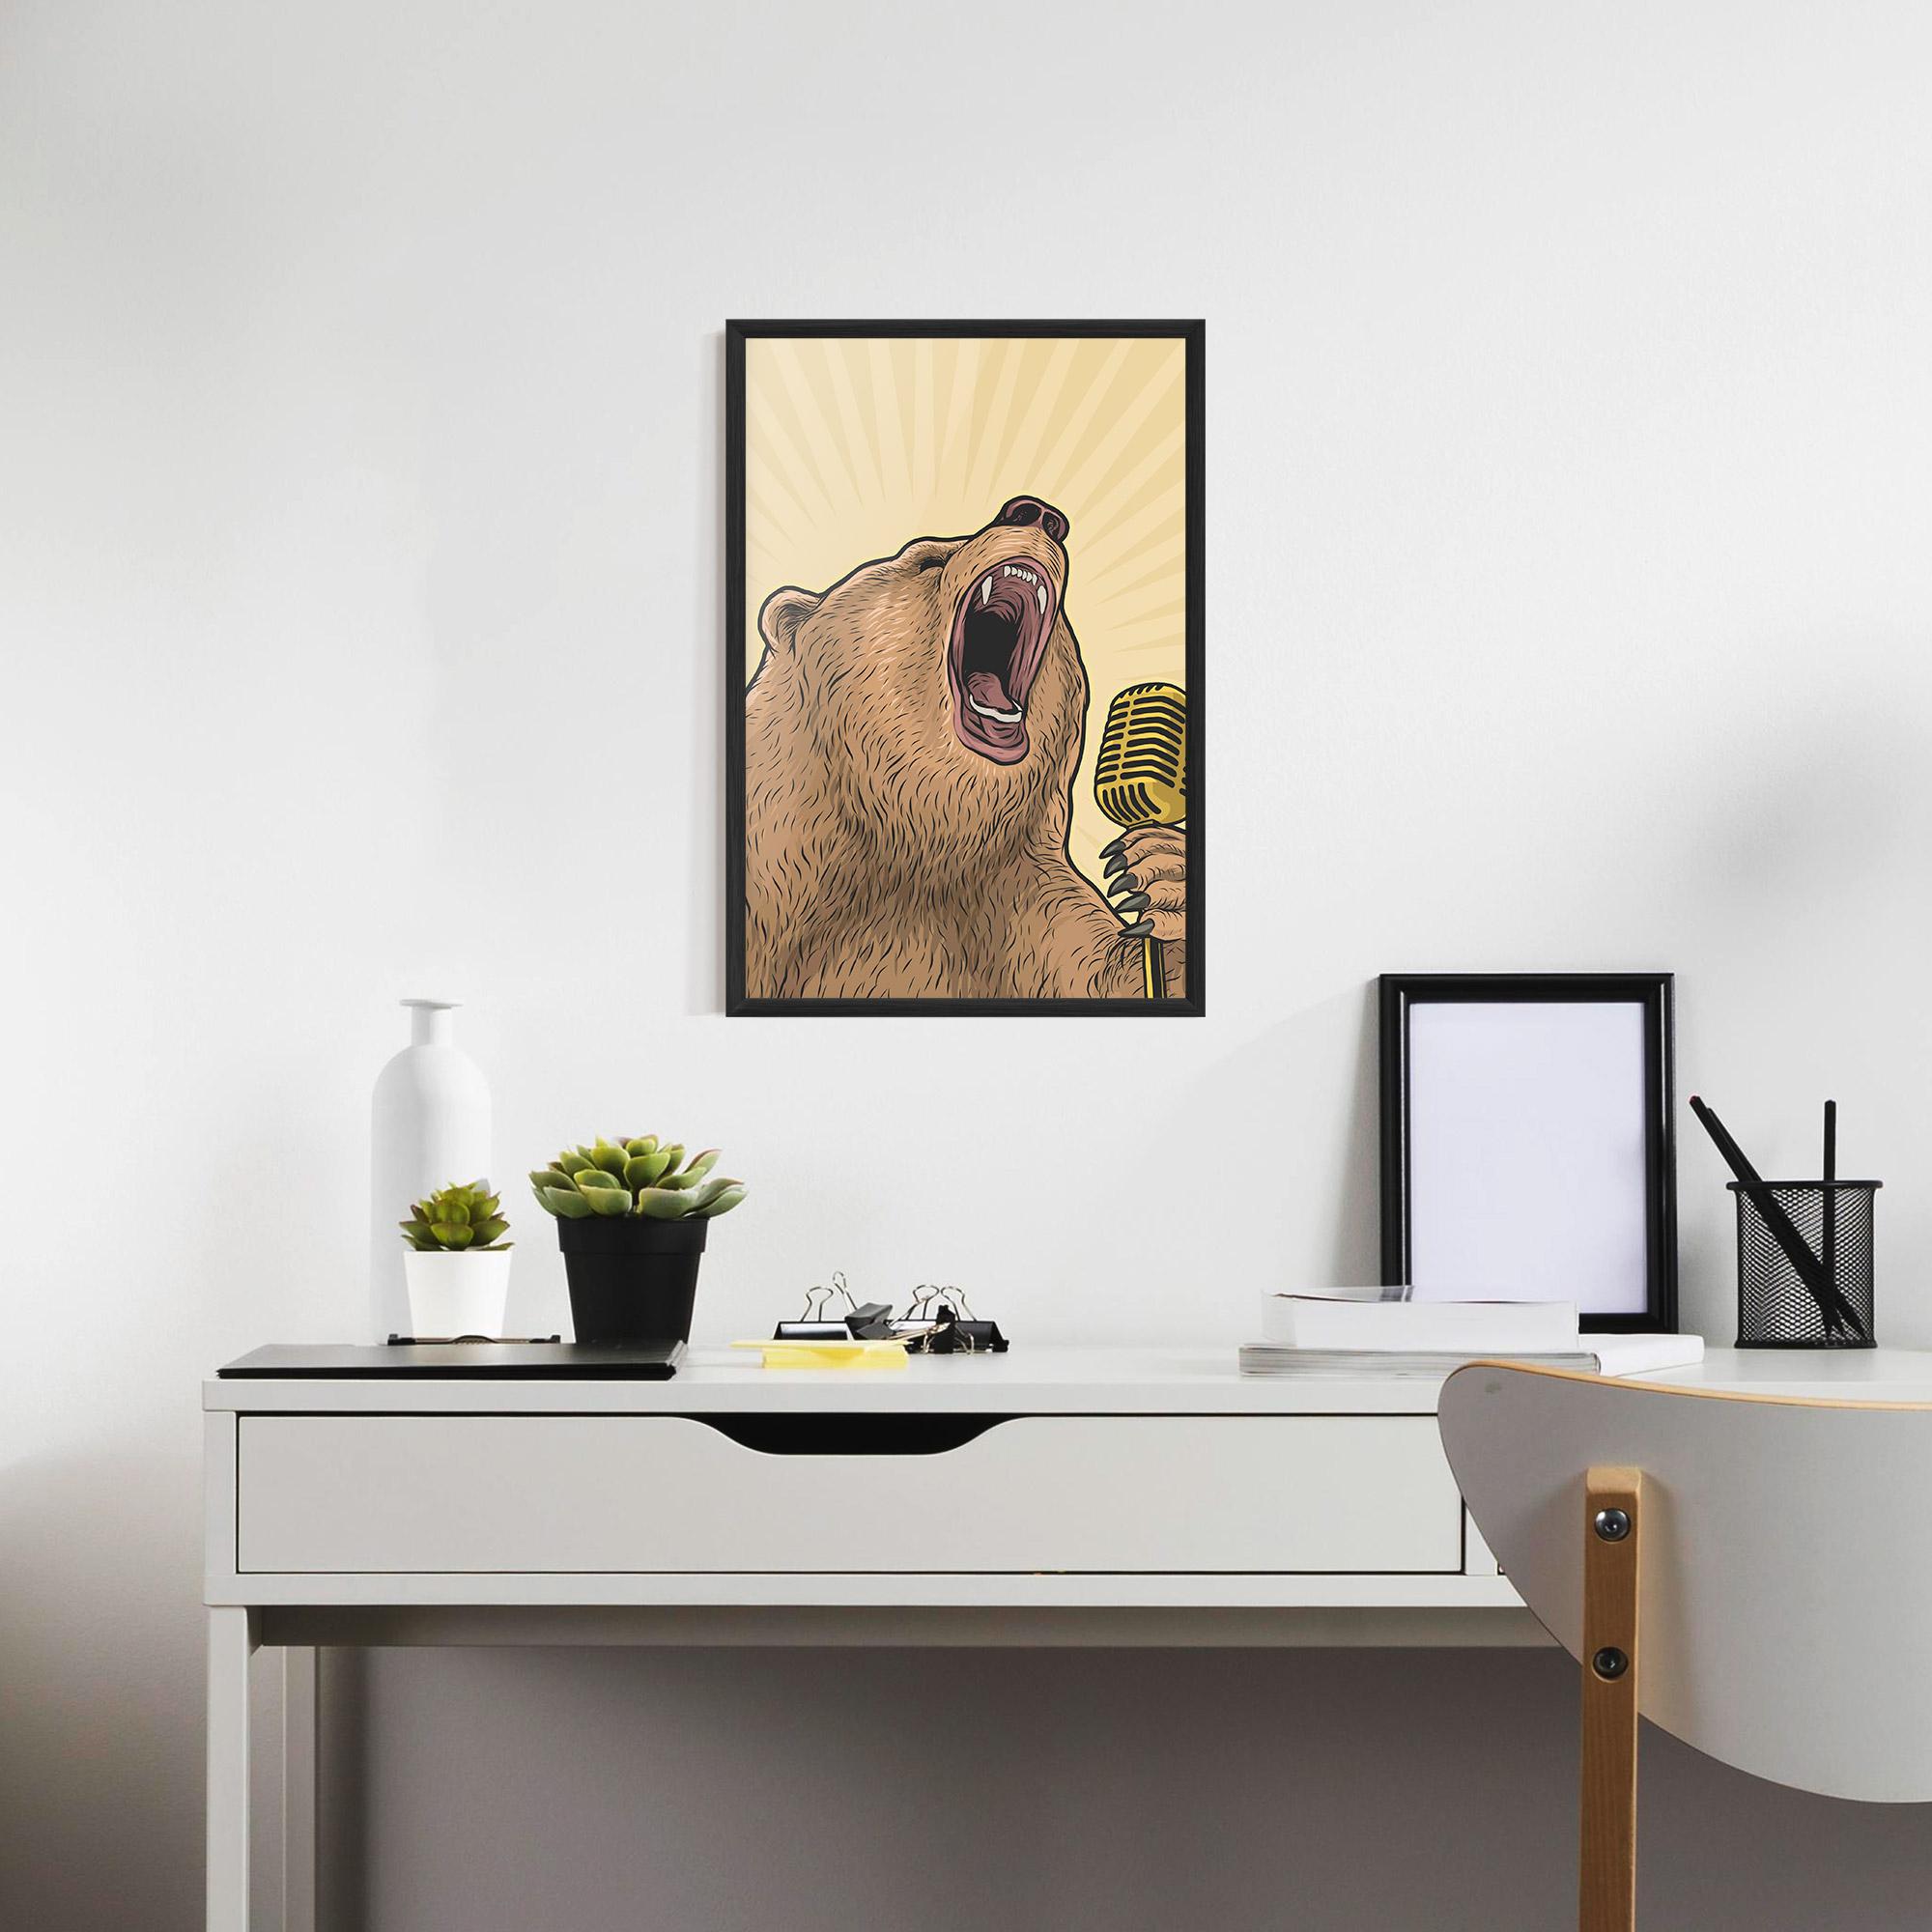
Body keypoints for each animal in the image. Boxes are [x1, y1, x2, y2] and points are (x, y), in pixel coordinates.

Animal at [743, 493, 1186, 1001]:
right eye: (927, 560)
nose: (1036, 513)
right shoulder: (780, 869)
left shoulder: (1017, 893)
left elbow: (1104, 968)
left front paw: (1160, 873)